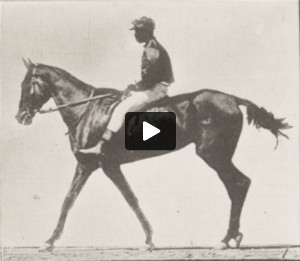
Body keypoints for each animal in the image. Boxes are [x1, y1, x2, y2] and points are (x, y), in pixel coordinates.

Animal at [14, 58, 290, 250]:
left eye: (26, 85)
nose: (20, 117)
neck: (86, 111)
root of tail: (232, 98)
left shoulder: (104, 164)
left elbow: (128, 199)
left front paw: (148, 239)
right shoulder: (91, 165)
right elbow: (70, 200)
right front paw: (49, 240)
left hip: (213, 155)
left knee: (239, 184)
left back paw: (226, 238)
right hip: (217, 156)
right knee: (237, 185)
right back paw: (231, 237)